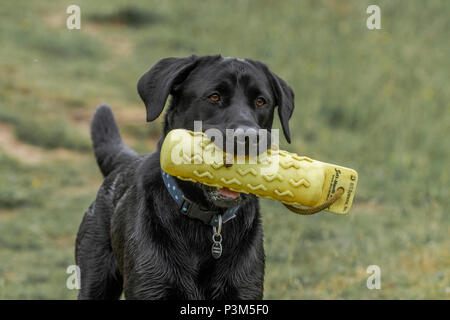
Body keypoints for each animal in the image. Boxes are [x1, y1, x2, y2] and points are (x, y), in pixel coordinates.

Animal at [75, 55, 296, 300]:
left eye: (260, 101)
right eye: (214, 96)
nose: (249, 137)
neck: (208, 223)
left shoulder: (245, 288)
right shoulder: (151, 285)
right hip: (95, 280)